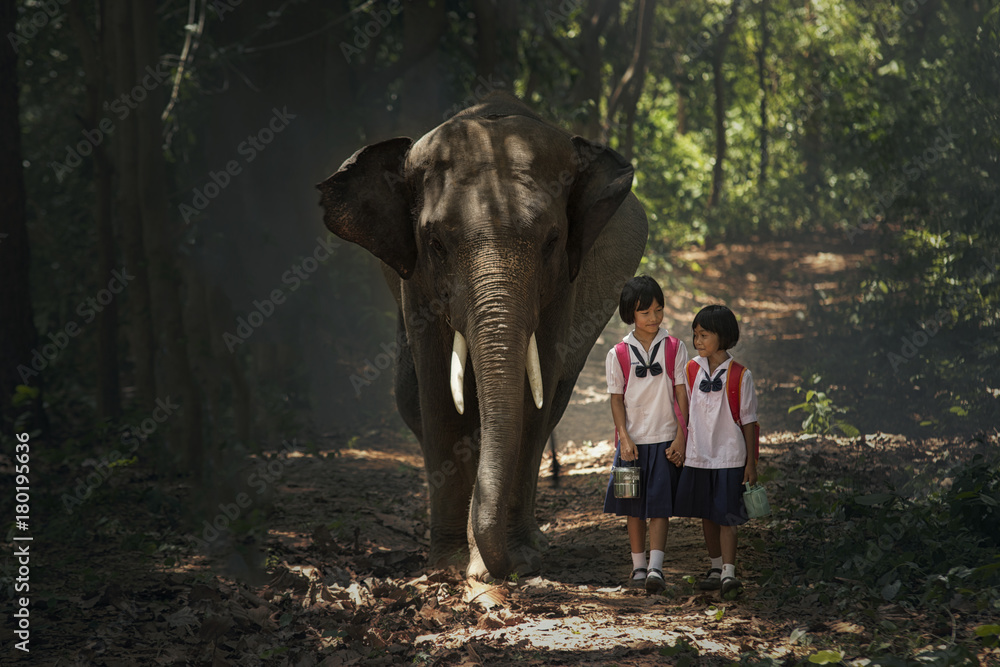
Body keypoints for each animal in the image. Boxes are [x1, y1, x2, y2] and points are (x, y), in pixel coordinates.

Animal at [318, 92, 648, 580]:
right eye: (435, 244)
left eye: (551, 241)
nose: (500, 569)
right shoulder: (417, 280)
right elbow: (439, 392)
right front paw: (451, 564)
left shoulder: (564, 283)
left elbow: (535, 395)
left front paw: (519, 559)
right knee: (410, 395)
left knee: (553, 400)